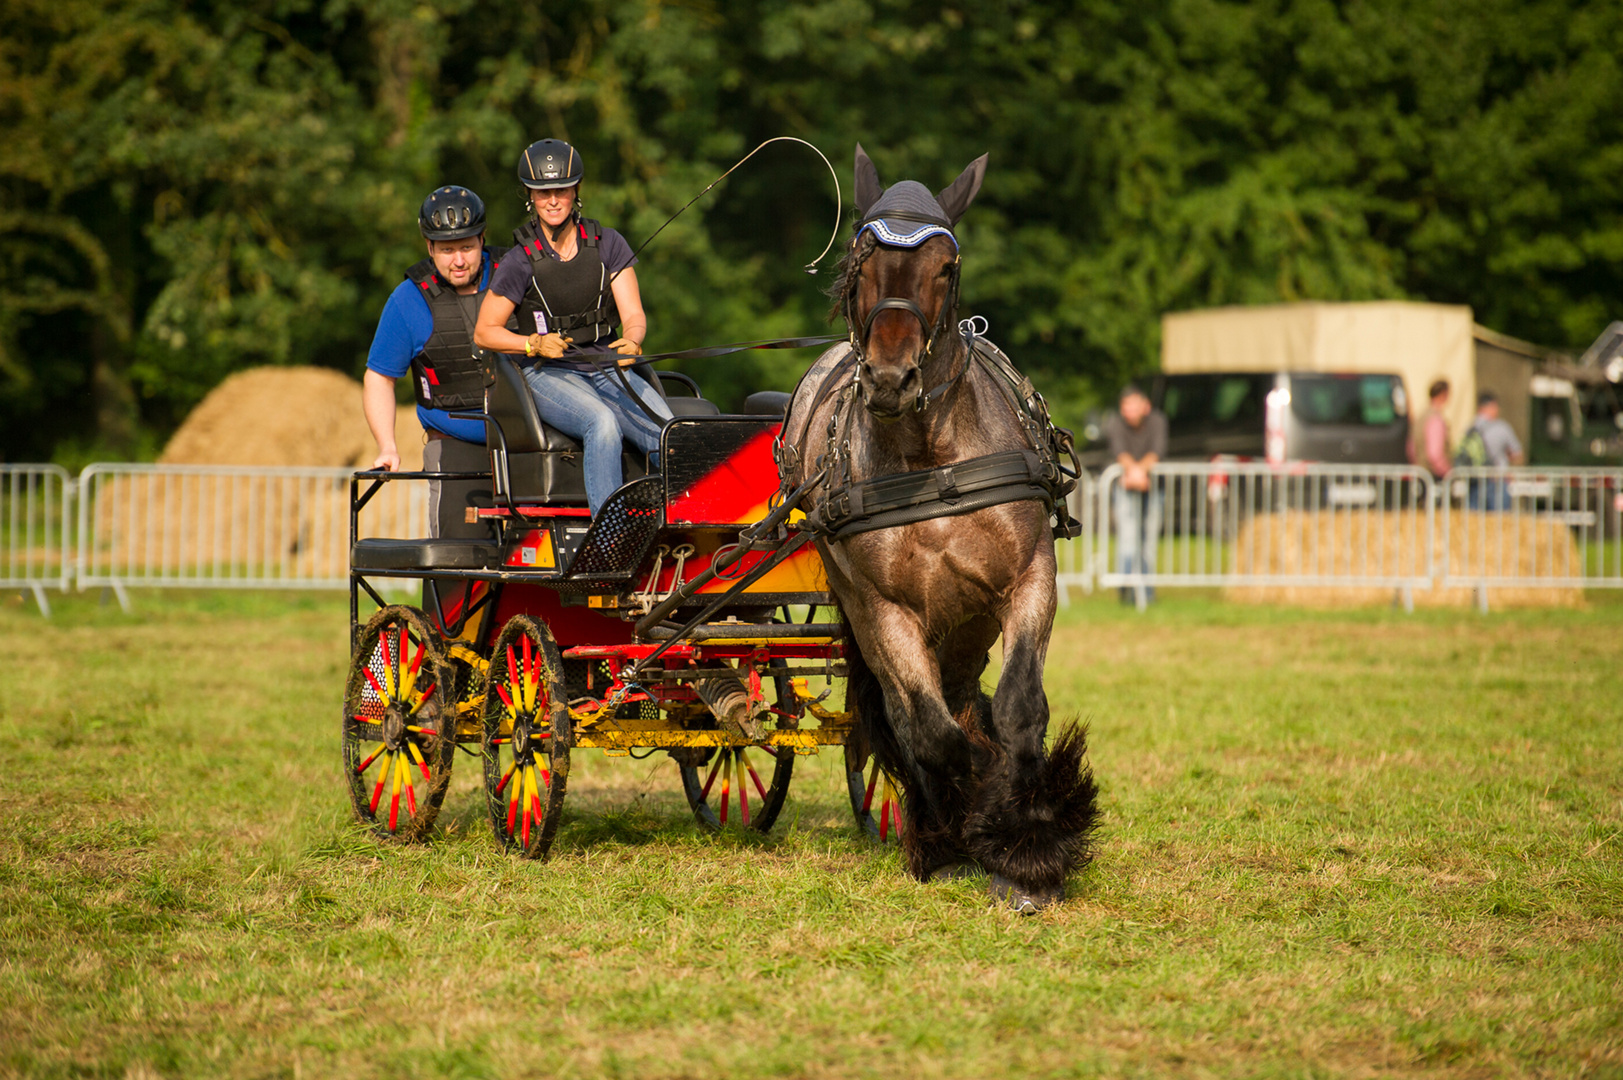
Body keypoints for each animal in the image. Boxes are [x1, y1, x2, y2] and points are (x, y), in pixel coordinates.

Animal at [775, 145, 1103, 909]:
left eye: (945, 267)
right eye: (860, 260)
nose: (889, 379)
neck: (931, 459)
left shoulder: (1028, 580)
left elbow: (1018, 707)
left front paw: (1031, 845)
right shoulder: (885, 610)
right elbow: (932, 733)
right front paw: (983, 823)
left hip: (965, 625)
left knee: (964, 698)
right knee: (914, 715)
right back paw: (943, 832)